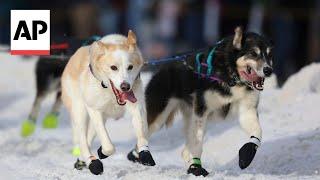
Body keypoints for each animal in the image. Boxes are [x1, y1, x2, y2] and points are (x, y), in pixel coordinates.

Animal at [61, 30, 156, 174]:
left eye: (130, 67)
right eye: (113, 67)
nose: (125, 86)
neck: (111, 94)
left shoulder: (137, 106)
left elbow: (141, 134)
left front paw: (145, 153)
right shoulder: (94, 110)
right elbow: (108, 146)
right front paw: (102, 153)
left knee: (88, 138)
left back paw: (82, 161)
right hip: (80, 111)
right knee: (83, 140)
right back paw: (91, 161)